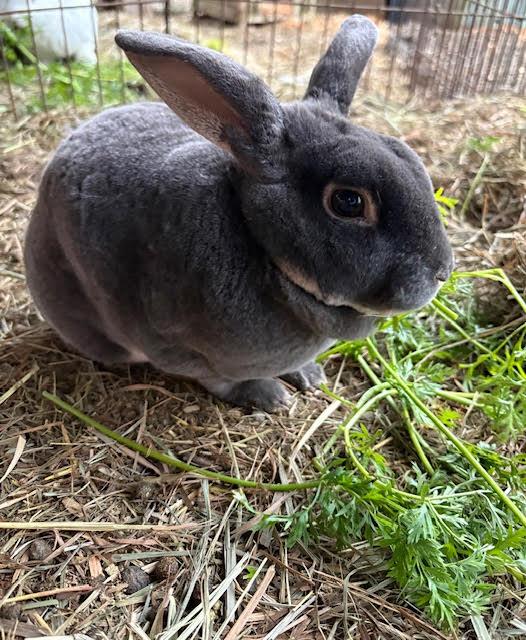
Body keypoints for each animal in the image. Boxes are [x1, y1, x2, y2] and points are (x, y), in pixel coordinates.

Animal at [24, 15, 453, 411]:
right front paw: (269, 397)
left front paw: (310, 375)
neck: (260, 247)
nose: (442, 272)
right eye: (348, 202)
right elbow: (220, 380)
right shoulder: (175, 348)